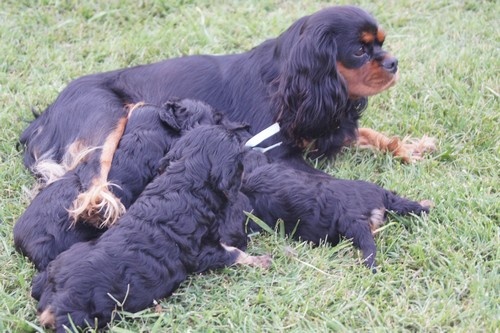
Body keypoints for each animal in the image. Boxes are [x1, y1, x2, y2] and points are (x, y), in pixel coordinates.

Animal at [17, 4, 428, 189]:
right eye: (359, 51)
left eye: (382, 43)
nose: (394, 62)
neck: (288, 81)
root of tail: (45, 116)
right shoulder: (276, 152)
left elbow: (369, 134)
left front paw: (408, 147)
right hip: (106, 116)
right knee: (94, 172)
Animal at [31, 122, 270, 332]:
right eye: (240, 160)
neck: (183, 183)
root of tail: (52, 293)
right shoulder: (201, 253)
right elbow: (233, 252)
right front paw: (261, 260)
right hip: (82, 316)